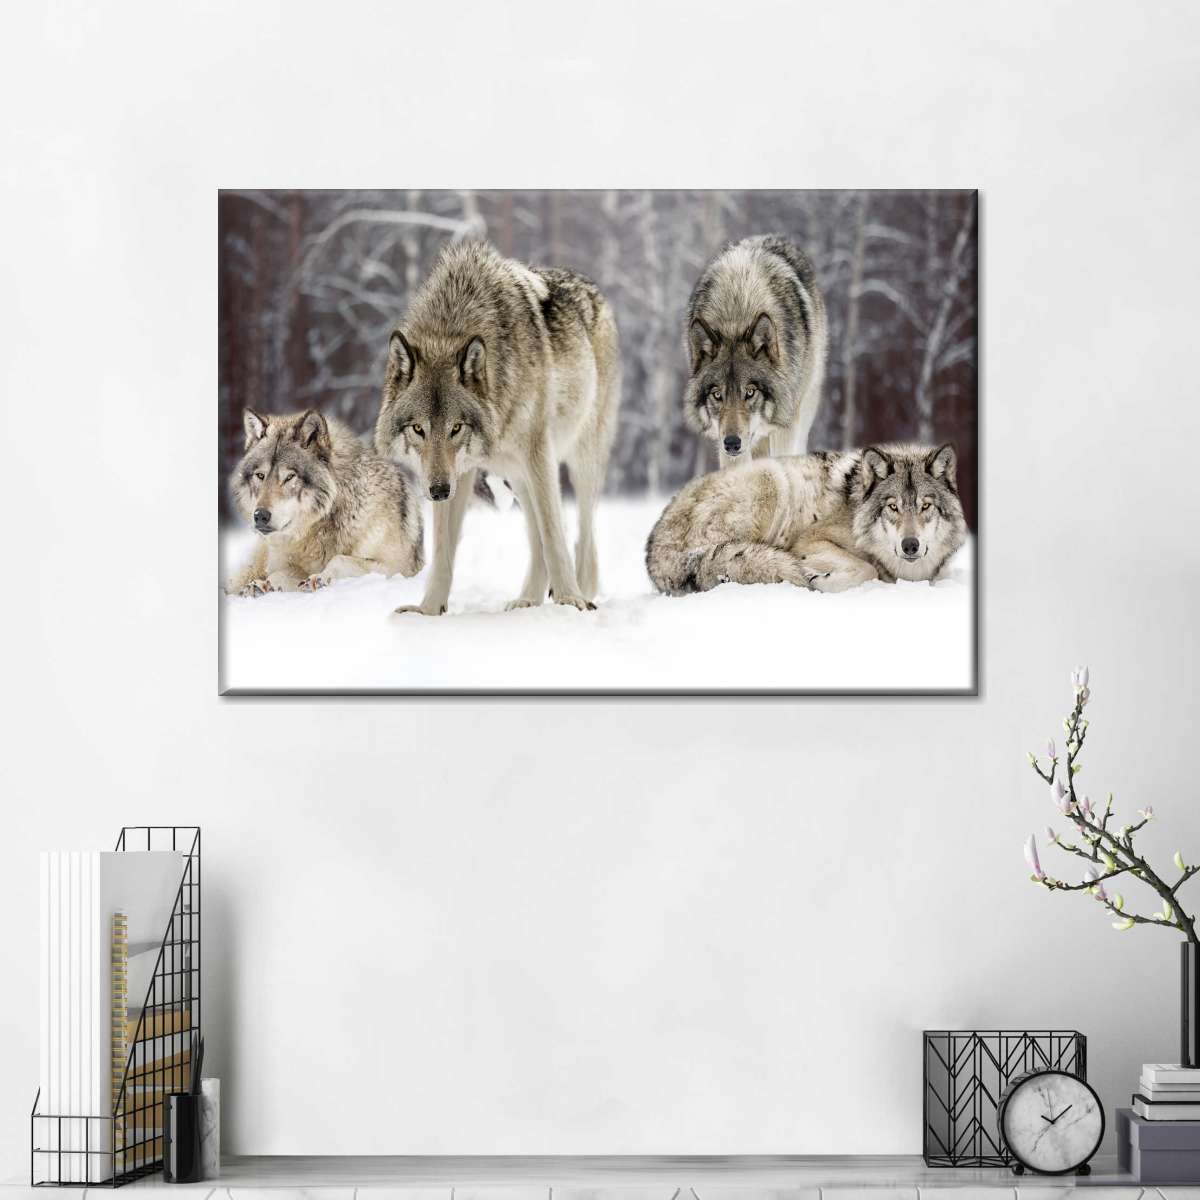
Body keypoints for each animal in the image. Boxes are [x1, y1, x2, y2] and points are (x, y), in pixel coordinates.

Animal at [226, 409, 424, 596]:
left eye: (290, 477)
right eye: (260, 475)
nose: (260, 515)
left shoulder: (398, 569)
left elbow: (338, 559)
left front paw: (318, 578)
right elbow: (281, 573)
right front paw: (263, 585)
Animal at [374, 241, 620, 615]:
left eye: (456, 428)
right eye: (418, 429)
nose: (438, 491)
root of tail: (592, 287)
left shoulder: (538, 452)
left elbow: (554, 535)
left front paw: (570, 599)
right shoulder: (457, 473)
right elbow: (443, 552)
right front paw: (428, 611)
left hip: (578, 461)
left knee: (580, 534)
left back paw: (581, 591)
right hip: (516, 475)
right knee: (537, 537)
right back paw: (528, 600)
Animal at [645, 443, 966, 595]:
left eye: (926, 506)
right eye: (893, 507)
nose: (910, 545)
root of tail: (653, 552)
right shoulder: (810, 540)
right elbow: (867, 569)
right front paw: (820, 580)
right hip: (771, 478)